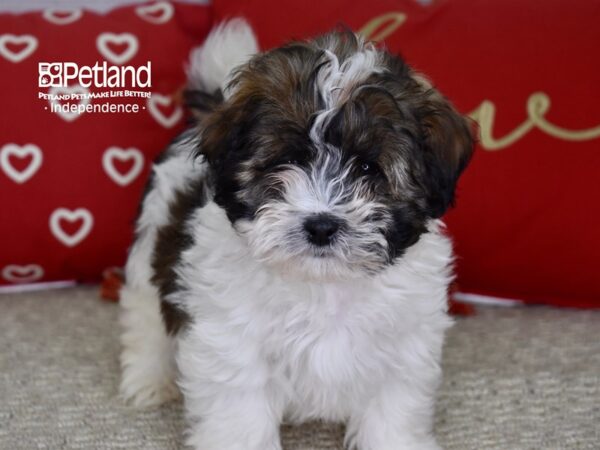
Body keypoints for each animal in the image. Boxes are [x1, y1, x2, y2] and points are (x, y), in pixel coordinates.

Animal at [118, 19, 474, 450]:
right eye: (287, 160)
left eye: (368, 168)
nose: (321, 225)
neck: (323, 284)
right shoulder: (234, 341)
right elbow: (241, 415)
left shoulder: (404, 344)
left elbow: (391, 410)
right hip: (150, 247)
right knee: (146, 315)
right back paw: (149, 379)